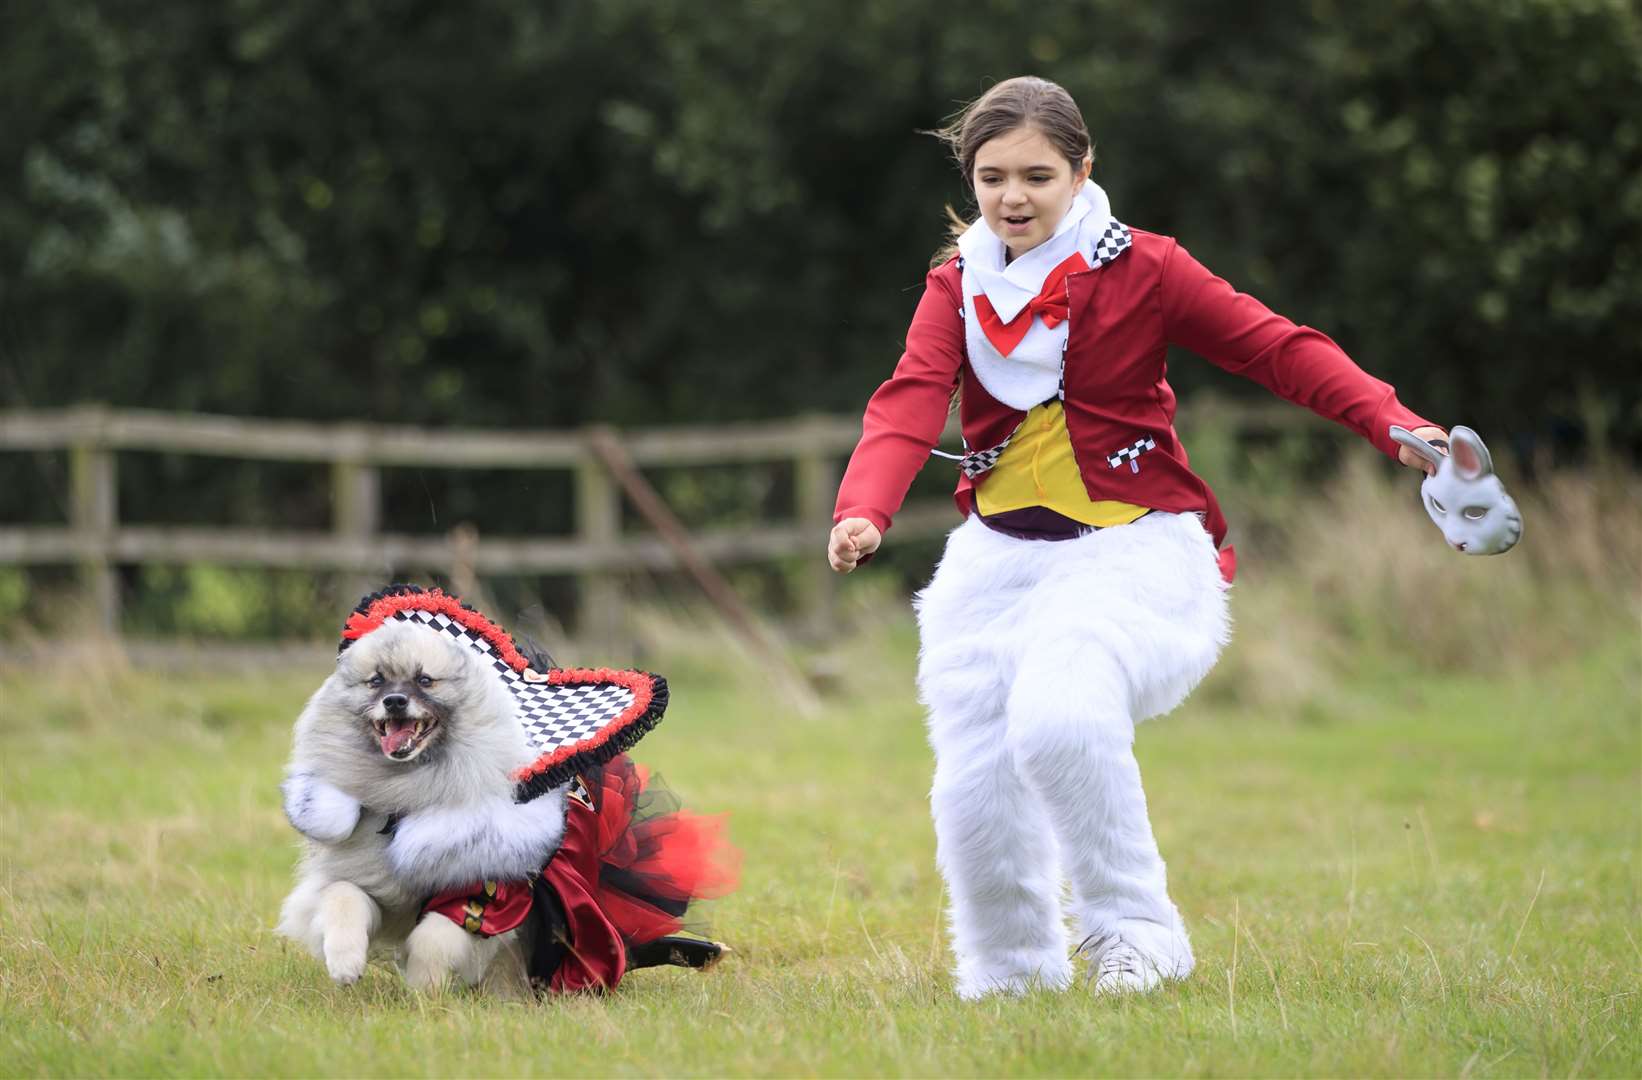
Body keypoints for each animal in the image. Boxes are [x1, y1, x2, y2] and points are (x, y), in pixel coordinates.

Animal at [274, 617, 564, 991]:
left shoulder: (484, 899)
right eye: (376, 681)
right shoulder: (362, 880)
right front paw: (345, 964)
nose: (395, 701)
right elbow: (343, 897)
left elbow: (434, 939)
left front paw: (423, 986)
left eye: (424, 680)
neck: (405, 793)